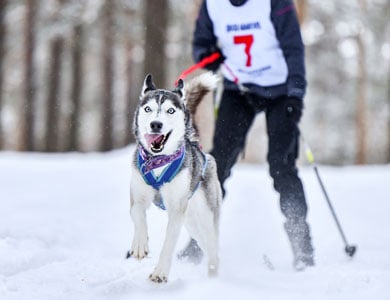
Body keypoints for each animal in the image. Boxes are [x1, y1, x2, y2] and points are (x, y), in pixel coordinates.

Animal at [128, 71, 219, 282]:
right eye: (148, 109)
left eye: (170, 111)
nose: (156, 124)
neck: (157, 161)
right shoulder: (137, 198)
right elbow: (139, 216)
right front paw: (140, 244)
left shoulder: (176, 210)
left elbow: (169, 243)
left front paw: (160, 272)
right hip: (192, 223)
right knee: (204, 244)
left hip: (205, 216)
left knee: (213, 247)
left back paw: (214, 275)